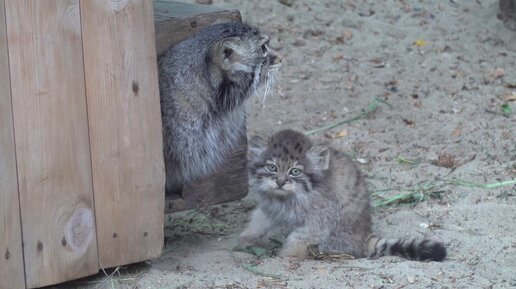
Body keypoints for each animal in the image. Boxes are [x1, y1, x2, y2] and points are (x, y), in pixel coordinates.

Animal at [242, 129, 448, 260]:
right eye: (272, 167)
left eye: (295, 171)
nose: (280, 182)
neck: (285, 198)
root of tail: (365, 239)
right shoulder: (270, 208)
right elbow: (258, 222)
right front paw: (244, 239)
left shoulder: (318, 221)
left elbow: (297, 241)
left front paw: (284, 256)